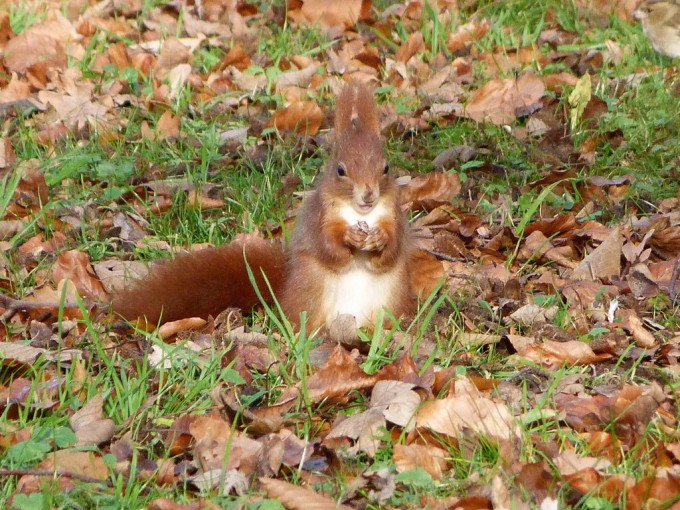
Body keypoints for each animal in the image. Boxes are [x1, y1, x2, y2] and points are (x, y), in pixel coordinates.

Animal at [111, 83, 415, 331]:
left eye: (386, 168)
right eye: (341, 170)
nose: (369, 195)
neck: (360, 213)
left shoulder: (392, 213)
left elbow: (393, 247)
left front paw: (379, 239)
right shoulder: (320, 216)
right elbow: (328, 247)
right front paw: (349, 238)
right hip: (311, 289)